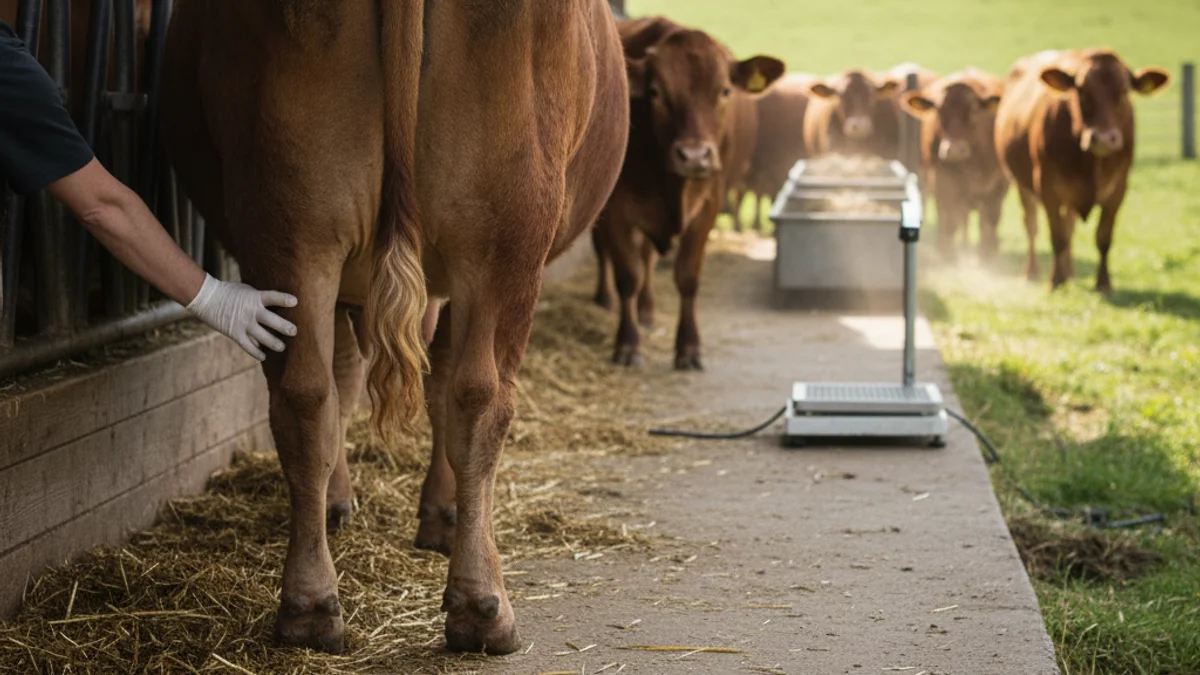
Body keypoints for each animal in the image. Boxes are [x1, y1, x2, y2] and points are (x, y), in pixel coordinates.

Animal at [162, 0, 629, 656]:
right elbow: (436, 382)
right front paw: (440, 514)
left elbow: (346, 380)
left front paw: (343, 503)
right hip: (509, 239)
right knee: (480, 398)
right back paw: (483, 608)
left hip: (289, 229)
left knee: (305, 396)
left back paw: (310, 606)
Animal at [591, 16, 783, 368]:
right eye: (655, 92)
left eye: (724, 91)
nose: (694, 156)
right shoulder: (615, 210)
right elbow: (627, 274)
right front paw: (628, 344)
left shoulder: (708, 208)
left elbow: (687, 277)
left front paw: (689, 348)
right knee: (609, 254)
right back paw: (607, 299)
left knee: (648, 257)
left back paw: (648, 311)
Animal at [900, 68, 1008, 259]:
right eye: (937, 110)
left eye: (974, 109)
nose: (954, 150)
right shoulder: (943, 181)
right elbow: (950, 223)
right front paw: (949, 257)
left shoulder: (997, 186)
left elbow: (988, 224)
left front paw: (986, 258)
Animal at [995, 48, 1168, 290]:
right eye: (1081, 90)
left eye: (1124, 91)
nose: (1103, 139)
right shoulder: (1047, 188)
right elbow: (1057, 237)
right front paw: (1055, 281)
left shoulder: (1118, 190)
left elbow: (1103, 238)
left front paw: (1103, 284)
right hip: (1023, 185)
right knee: (1032, 226)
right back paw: (1032, 272)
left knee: (1069, 227)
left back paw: (1070, 272)